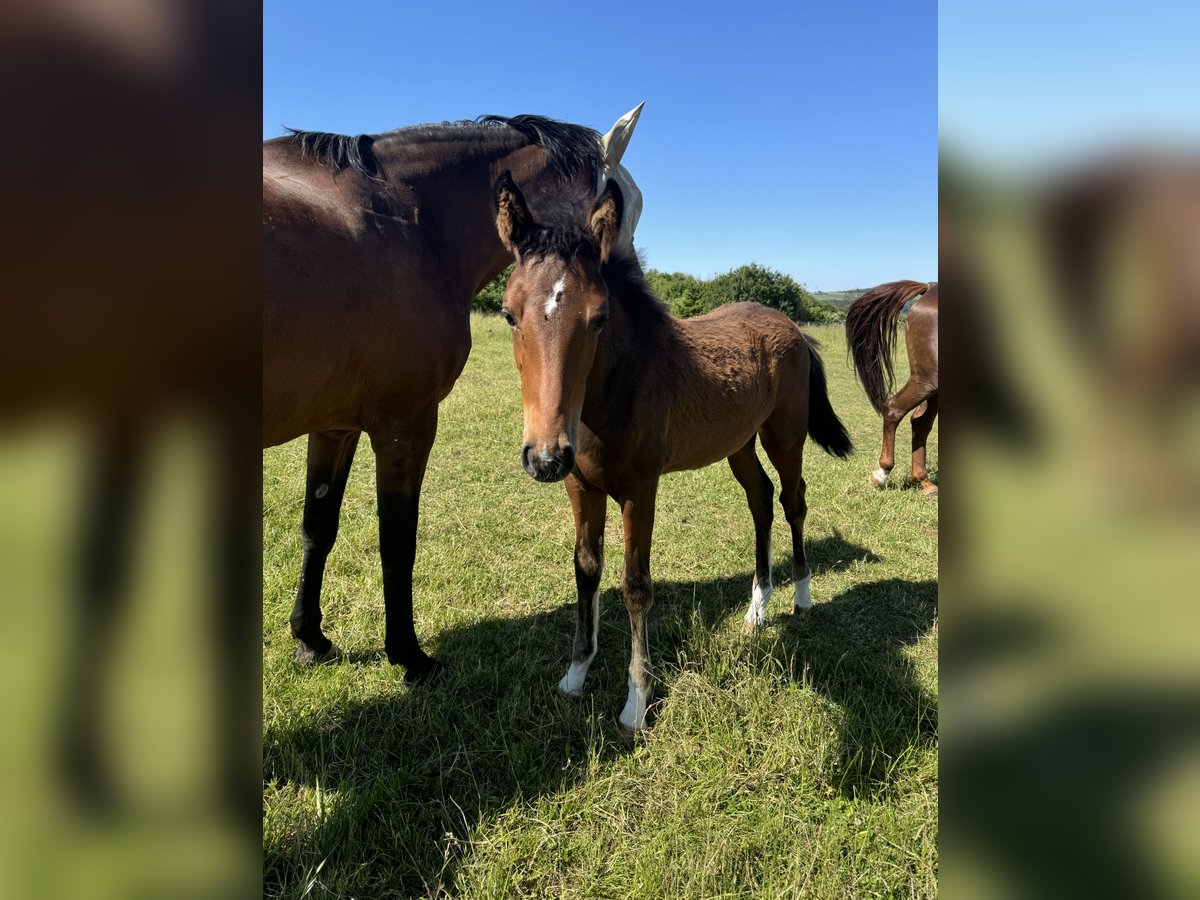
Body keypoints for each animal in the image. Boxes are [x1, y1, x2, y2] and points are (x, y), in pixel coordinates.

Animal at [259, 107, 643, 676]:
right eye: (630, 206)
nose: (634, 298)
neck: (408, 220)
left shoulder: (335, 426)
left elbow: (318, 527)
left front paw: (311, 638)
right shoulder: (406, 423)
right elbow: (398, 540)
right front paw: (409, 655)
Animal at [489, 174, 854, 734]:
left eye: (599, 319)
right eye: (509, 314)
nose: (546, 457)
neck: (612, 394)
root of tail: (794, 328)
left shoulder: (640, 490)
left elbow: (635, 585)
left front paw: (636, 704)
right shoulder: (581, 487)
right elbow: (586, 569)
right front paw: (575, 675)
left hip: (784, 436)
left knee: (793, 501)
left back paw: (801, 597)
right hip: (739, 444)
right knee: (761, 501)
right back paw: (757, 608)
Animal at [844, 280, 936, 494]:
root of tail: (929, 290)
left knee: (921, 422)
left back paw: (925, 483)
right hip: (927, 380)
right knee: (895, 410)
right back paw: (882, 474)